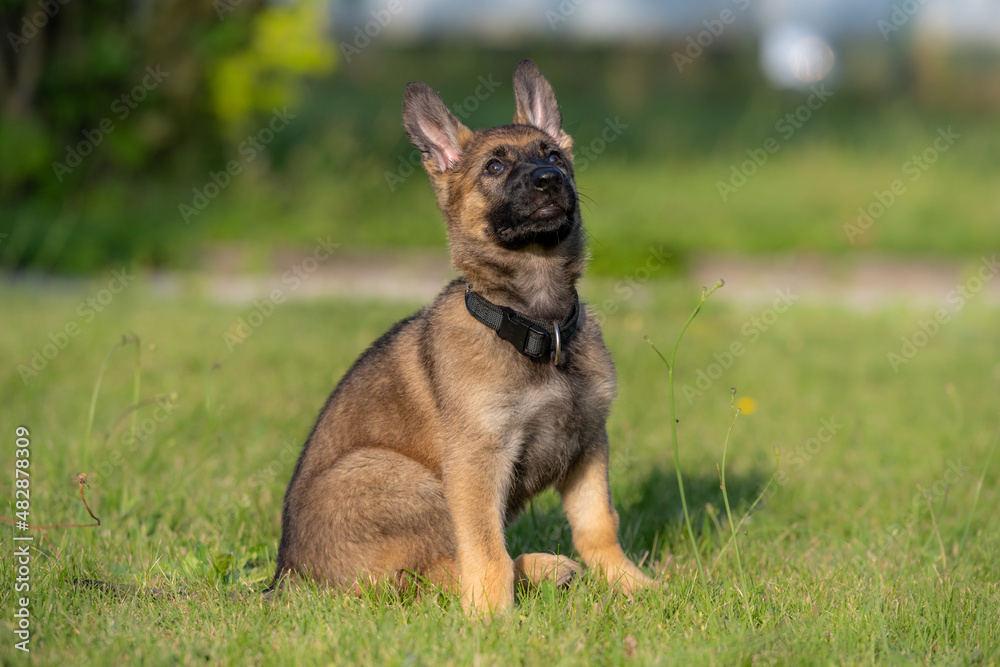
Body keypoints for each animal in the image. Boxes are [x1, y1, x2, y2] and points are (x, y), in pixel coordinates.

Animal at [270, 58, 652, 616]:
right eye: (494, 168)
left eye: (554, 155)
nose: (550, 180)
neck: (537, 324)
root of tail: (287, 577)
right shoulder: (476, 461)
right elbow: (485, 549)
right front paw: (491, 616)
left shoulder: (587, 441)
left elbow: (598, 525)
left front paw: (632, 584)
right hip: (398, 477)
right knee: (418, 579)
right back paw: (540, 570)